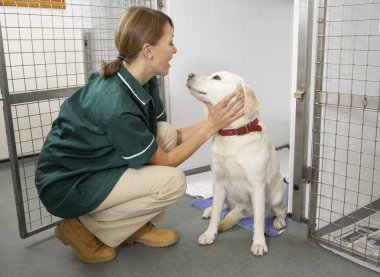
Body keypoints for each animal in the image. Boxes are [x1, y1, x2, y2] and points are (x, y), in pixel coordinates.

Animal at [186, 70, 286, 254]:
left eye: (216, 78)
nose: (189, 75)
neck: (233, 133)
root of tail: (241, 210)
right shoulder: (218, 182)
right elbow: (217, 216)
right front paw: (209, 234)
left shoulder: (257, 186)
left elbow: (259, 221)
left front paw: (259, 243)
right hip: (223, 193)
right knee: (222, 207)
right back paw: (209, 209)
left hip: (276, 196)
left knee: (280, 211)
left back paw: (278, 221)